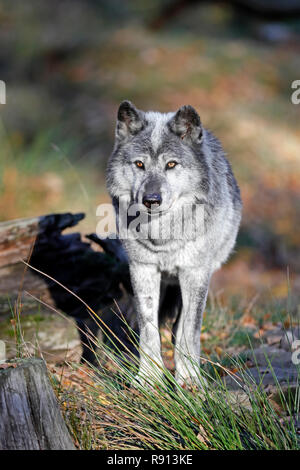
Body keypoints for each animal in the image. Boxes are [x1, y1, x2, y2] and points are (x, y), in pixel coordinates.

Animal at [106, 100, 243, 386]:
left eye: (171, 164)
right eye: (139, 164)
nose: (151, 199)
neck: (162, 237)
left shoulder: (195, 272)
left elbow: (189, 331)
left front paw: (189, 380)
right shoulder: (143, 268)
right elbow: (148, 330)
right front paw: (148, 379)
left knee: (181, 325)